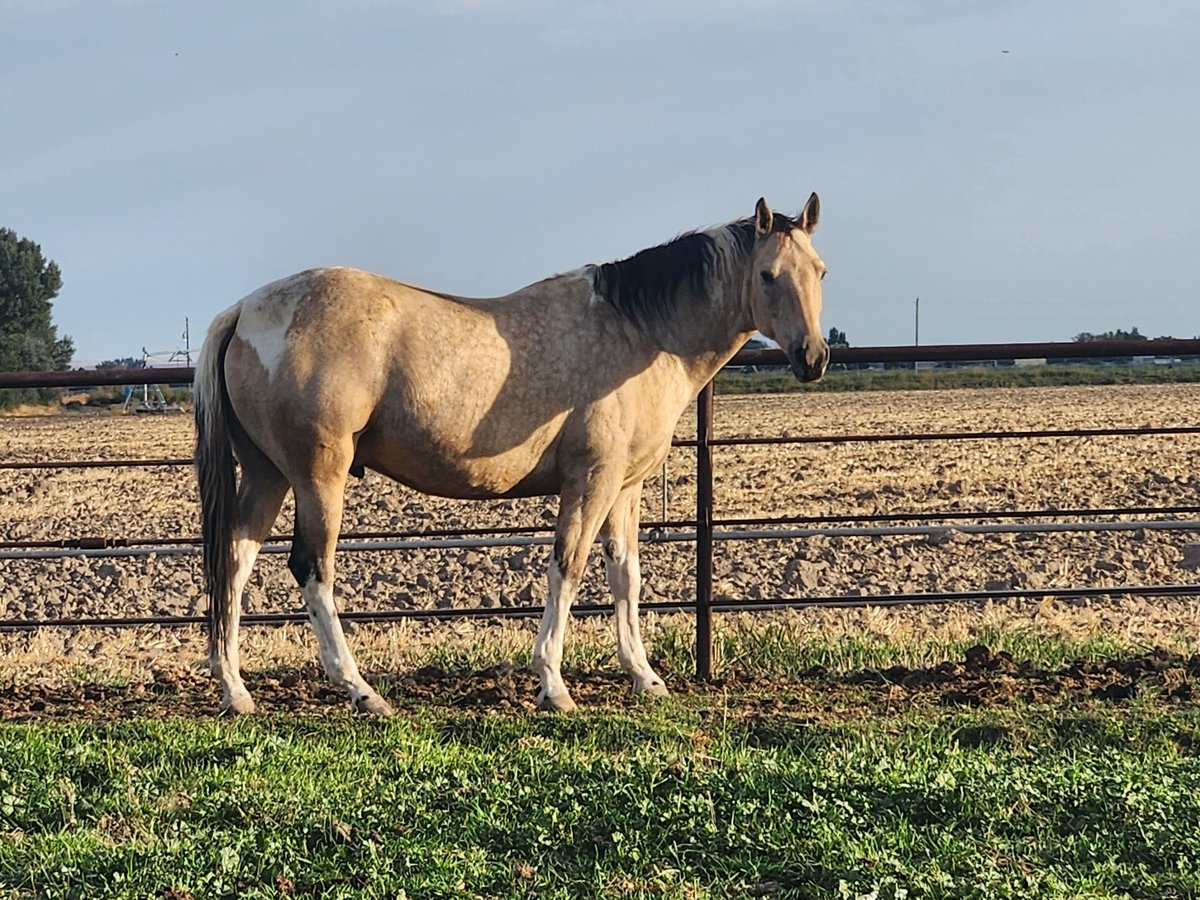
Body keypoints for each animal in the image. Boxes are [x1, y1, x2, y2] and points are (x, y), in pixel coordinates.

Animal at [199, 194, 835, 715]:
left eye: (820, 270)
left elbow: (625, 576)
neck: (640, 332)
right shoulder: (591, 481)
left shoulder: (625, 488)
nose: (814, 357)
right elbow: (568, 568)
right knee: (312, 568)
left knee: (233, 559)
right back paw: (361, 691)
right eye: (768, 274)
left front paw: (645, 677)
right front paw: (553, 684)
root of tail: (244, 311)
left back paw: (236, 691)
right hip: (318, 477)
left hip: (267, 476)